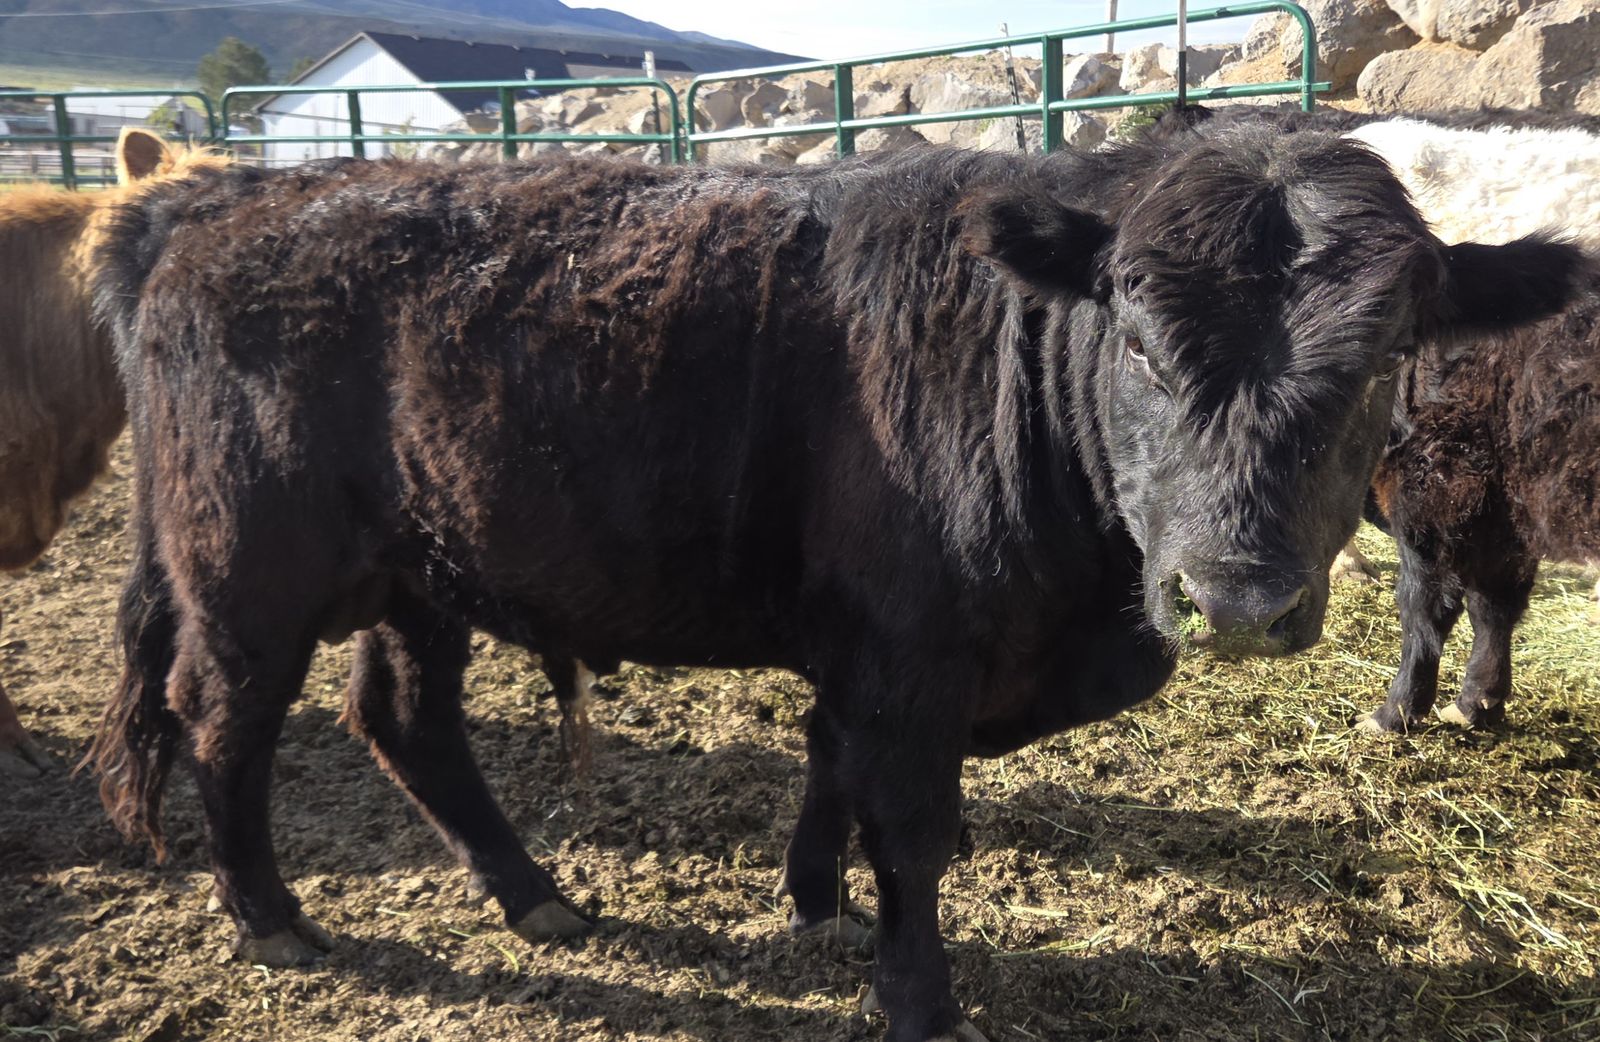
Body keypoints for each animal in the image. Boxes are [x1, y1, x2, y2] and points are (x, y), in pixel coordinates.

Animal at [87, 130, 1587, 1042]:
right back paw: (275, 920)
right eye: (1140, 343)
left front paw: (814, 897)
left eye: (1386, 355)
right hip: (248, 571)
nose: (1234, 597)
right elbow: (911, 827)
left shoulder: (876, 648)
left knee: (405, 717)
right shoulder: (907, 650)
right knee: (225, 719)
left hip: (419, 574)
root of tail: (224, 199)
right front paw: (914, 990)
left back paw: (536, 894)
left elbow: (833, 767)